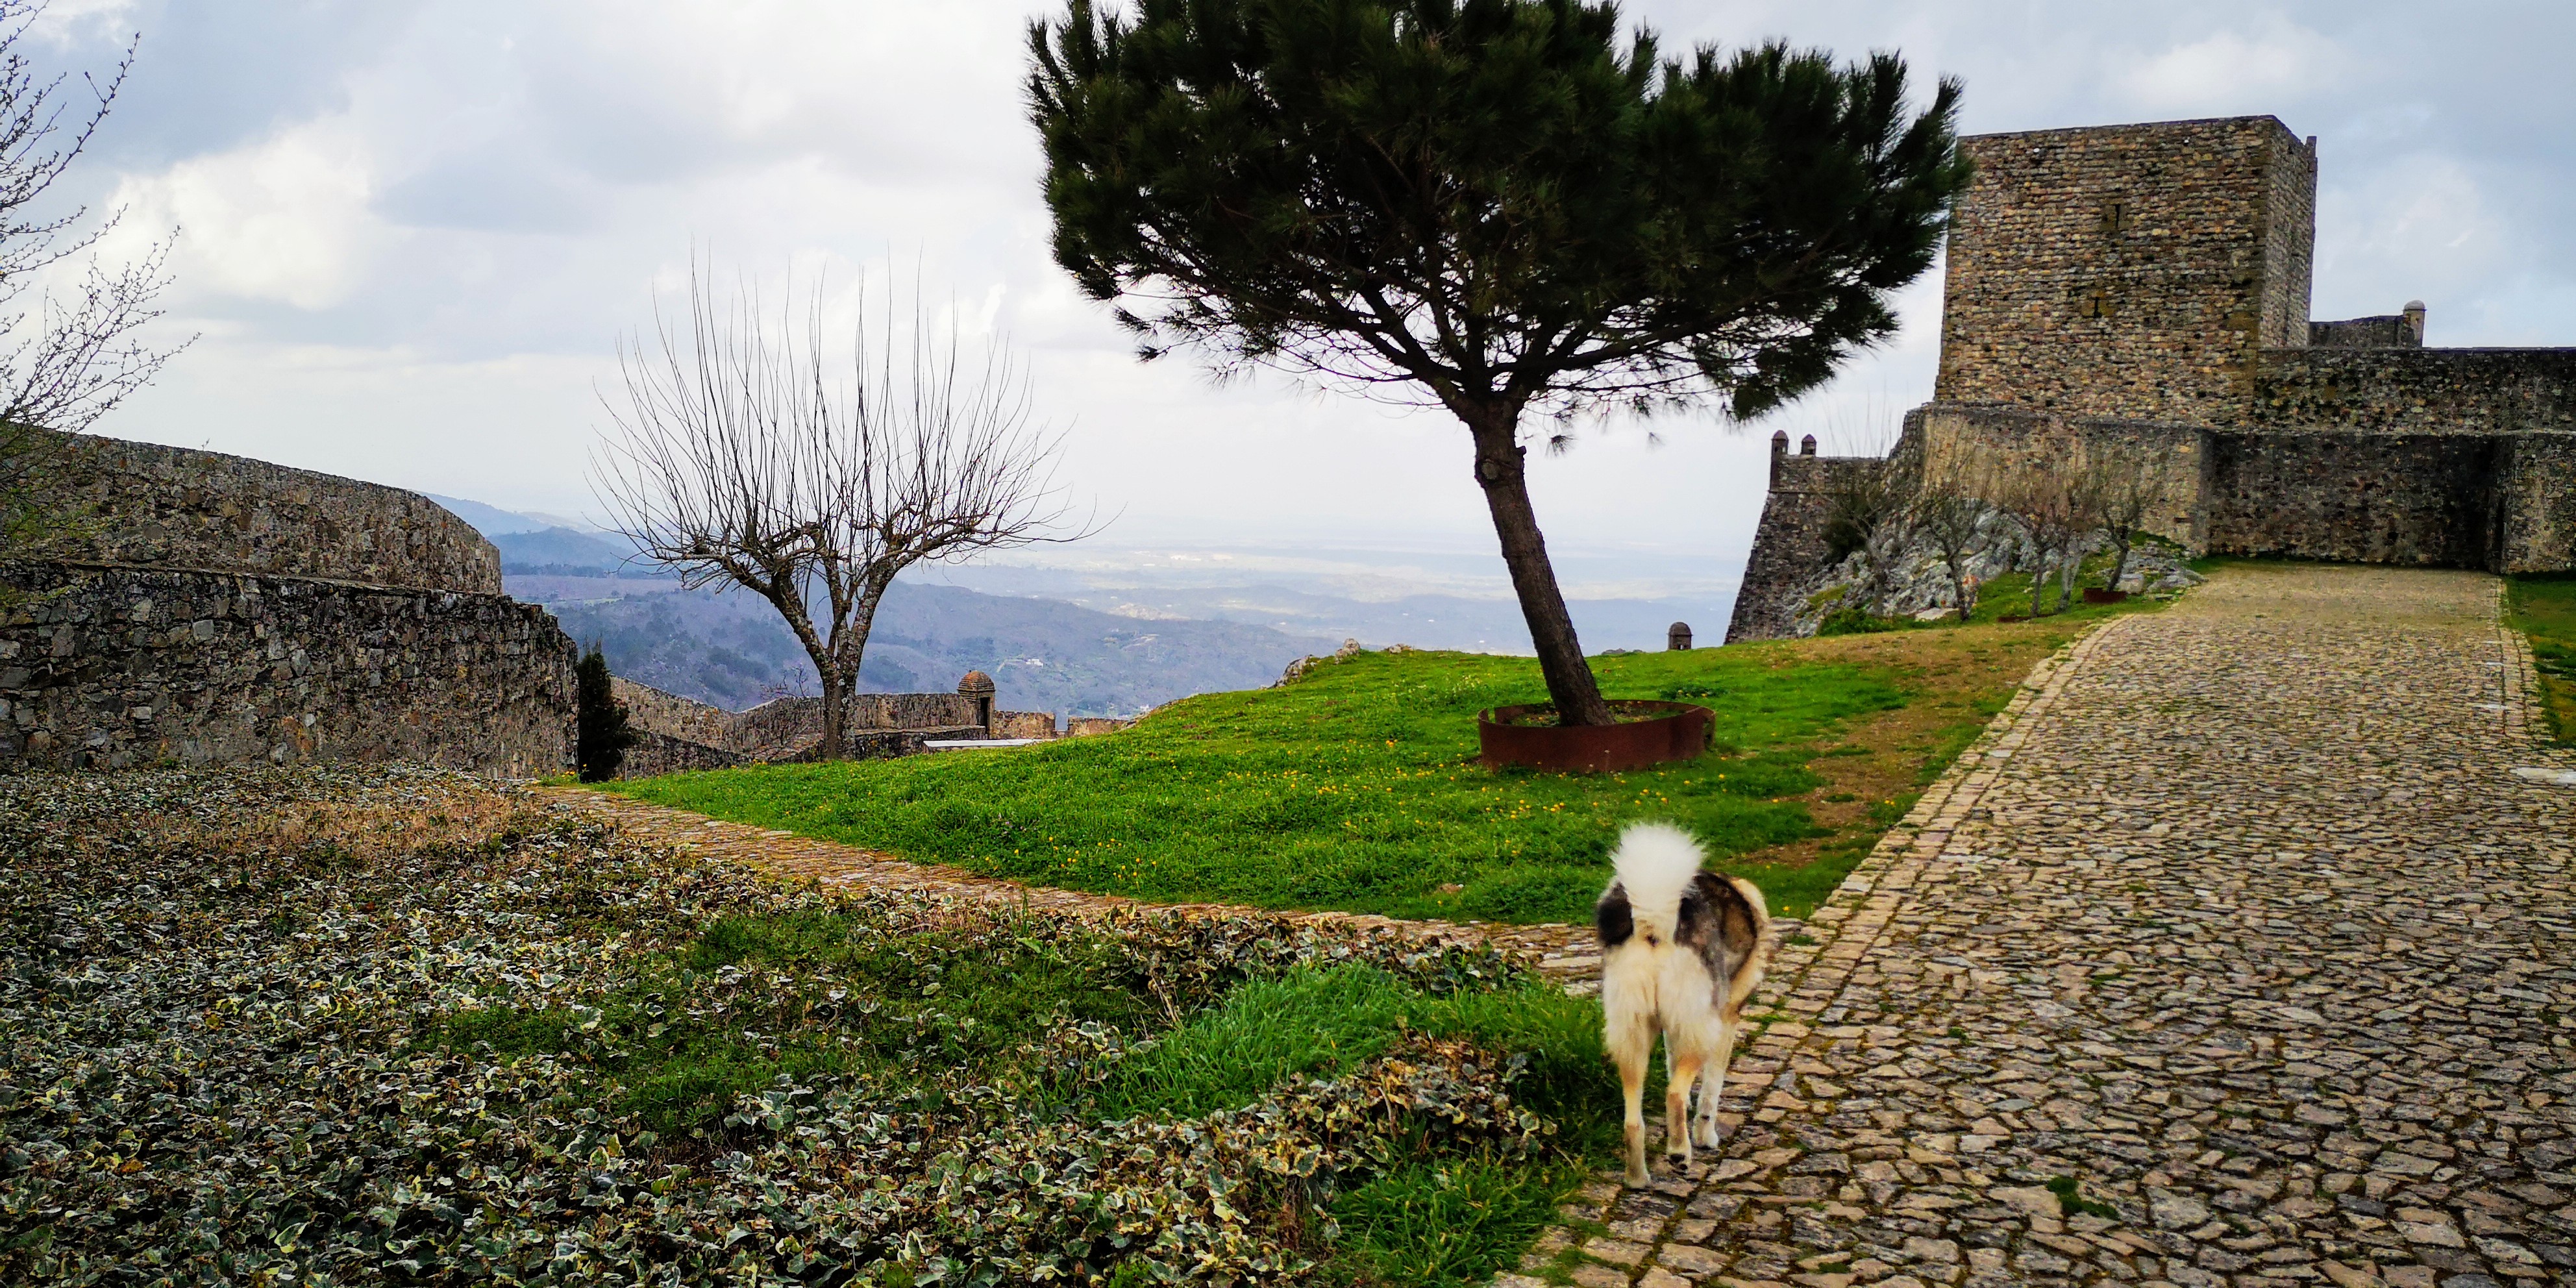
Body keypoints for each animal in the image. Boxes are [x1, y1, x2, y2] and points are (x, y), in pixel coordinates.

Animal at [1595, 822, 1772, 1187]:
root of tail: (1652, 926)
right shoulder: (1726, 1021)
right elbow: (1710, 1093)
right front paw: (1706, 1137)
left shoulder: (1669, 1028)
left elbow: (1673, 1064)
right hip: (1700, 1031)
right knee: (1674, 1093)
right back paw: (1680, 1152)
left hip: (1632, 1038)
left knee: (1633, 1121)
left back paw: (1638, 1178)